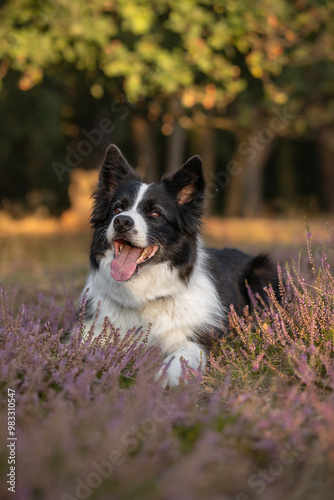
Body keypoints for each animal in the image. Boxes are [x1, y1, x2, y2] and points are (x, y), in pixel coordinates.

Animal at [79, 145, 276, 386]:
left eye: (155, 213)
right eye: (117, 209)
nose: (122, 222)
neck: (142, 298)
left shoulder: (195, 341)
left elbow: (178, 360)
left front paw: (161, 381)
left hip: (261, 271)